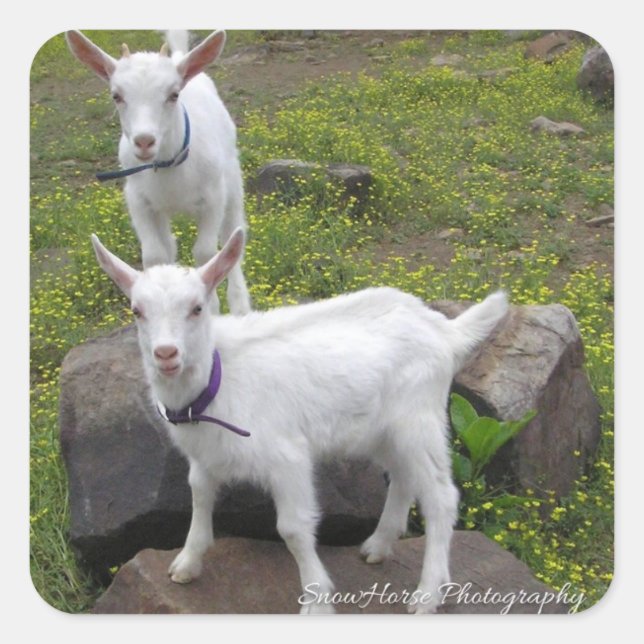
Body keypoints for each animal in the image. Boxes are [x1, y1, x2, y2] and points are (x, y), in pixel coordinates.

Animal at [66, 29, 251, 314]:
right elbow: (154, 255)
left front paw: (212, 307)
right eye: (116, 96)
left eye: (173, 94)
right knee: (170, 243)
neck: (169, 167)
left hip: (232, 181)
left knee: (234, 231)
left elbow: (207, 252)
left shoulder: (213, 197)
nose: (144, 141)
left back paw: (241, 305)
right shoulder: (138, 200)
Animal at [91, 228, 509, 614]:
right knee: (404, 476)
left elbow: (292, 528)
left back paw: (427, 595)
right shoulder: (204, 456)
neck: (218, 380)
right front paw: (187, 563)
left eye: (196, 307)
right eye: (136, 311)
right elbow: (199, 495)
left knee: (441, 496)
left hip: (418, 418)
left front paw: (316, 602)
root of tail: (445, 330)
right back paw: (378, 546)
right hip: (382, 431)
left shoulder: (287, 457)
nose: (166, 354)